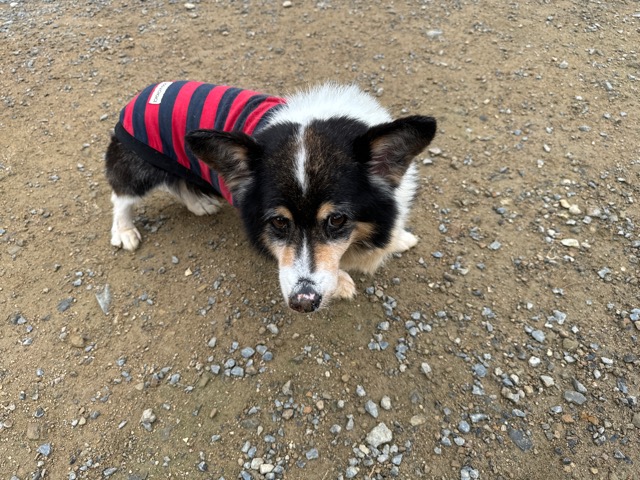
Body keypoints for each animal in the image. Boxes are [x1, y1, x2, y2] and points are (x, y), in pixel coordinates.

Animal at [105, 81, 436, 313]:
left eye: (337, 219)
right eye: (278, 222)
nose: (303, 302)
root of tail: (142, 93)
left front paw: (400, 239)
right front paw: (341, 282)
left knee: (177, 183)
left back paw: (199, 203)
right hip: (139, 168)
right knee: (121, 195)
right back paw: (124, 231)